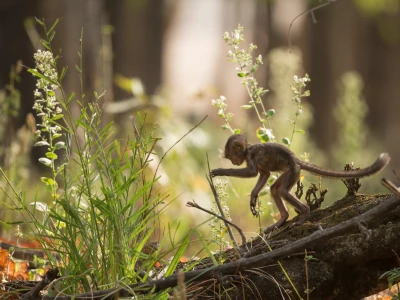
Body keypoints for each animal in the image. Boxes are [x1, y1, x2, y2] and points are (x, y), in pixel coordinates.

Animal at [211, 134, 390, 234]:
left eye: (232, 156)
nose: (233, 162)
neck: (248, 150)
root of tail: (295, 160)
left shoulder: (252, 156)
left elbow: (253, 173)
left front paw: (221, 171)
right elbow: (265, 174)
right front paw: (254, 197)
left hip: (293, 171)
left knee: (283, 191)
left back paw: (304, 213)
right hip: (291, 172)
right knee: (275, 189)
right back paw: (283, 218)